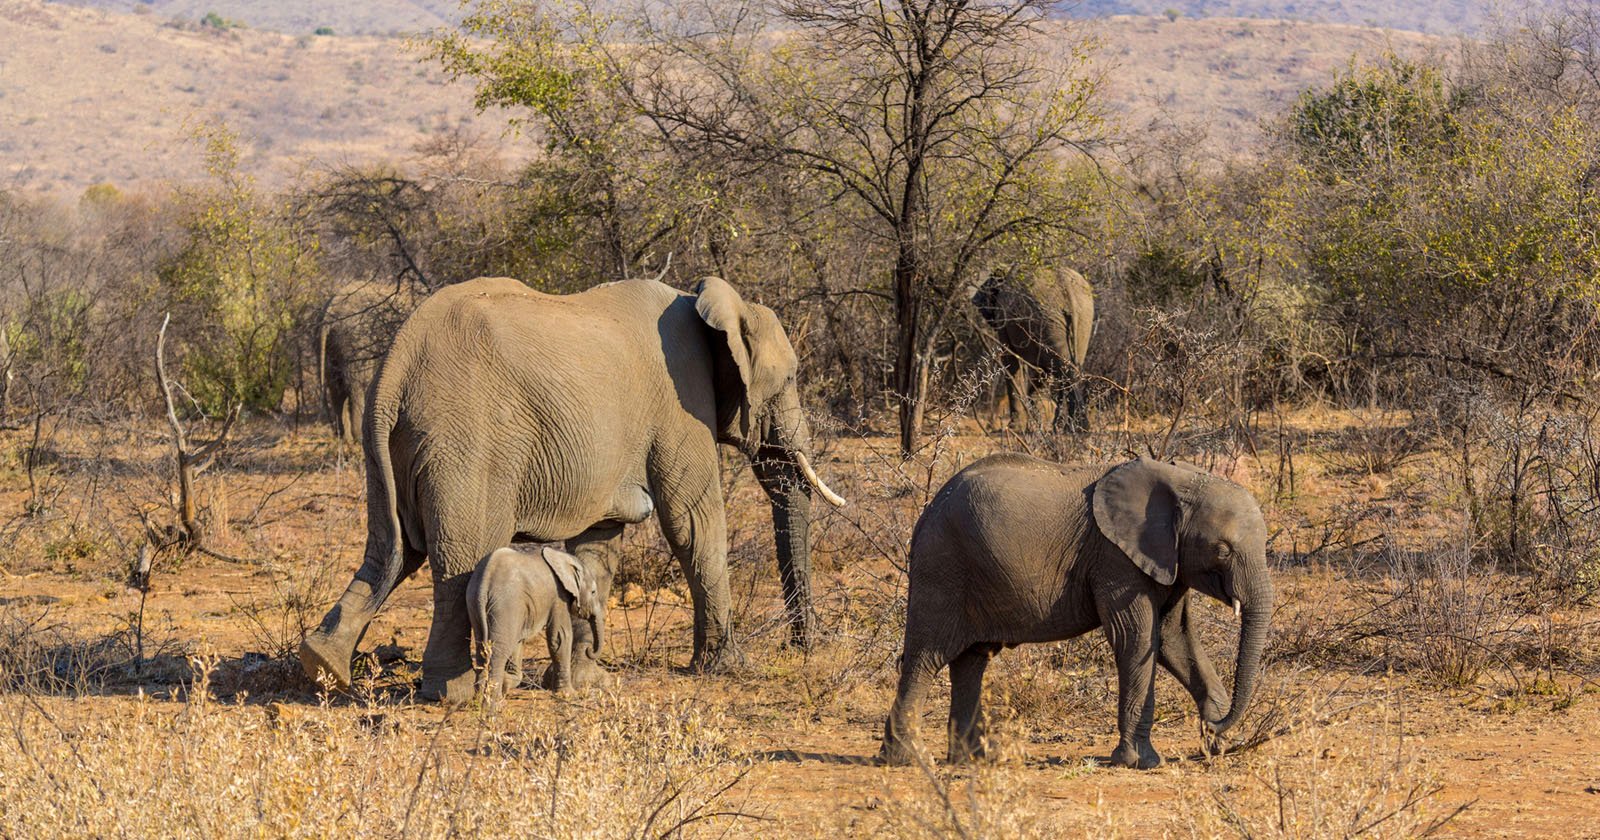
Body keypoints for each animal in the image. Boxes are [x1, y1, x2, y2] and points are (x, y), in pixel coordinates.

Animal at [470, 544, 608, 694]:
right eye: (593, 592)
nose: (589, 650)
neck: (564, 558)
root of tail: (485, 581)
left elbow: (519, 641)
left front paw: (508, 681)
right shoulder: (558, 596)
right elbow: (560, 636)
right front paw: (569, 694)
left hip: (475, 603)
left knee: (482, 649)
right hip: (505, 604)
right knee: (499, 649)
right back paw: (494, 700)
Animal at [883, 454, 1267, 771]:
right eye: (1222, 550)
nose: (1210, 727)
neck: (1180, 479)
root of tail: (928, 509)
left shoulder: (1168, 560)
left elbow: (1177, 641)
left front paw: (1221, 744)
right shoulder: (1115, 559)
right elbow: (1136, 639)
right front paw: (1140, 761)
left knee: (971, 661)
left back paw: (974, 759)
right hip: (942, 566)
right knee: (926, 658)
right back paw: (910, 758)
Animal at [966, 264, 1094, 435]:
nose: (974, 301)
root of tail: (1069, 293)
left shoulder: (1004, 318)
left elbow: (1010, 361)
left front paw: (1013, 427)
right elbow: (1043, 371)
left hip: (1048, 320)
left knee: (1063, 369)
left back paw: (1074, 429)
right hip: (1080, 321)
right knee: (1068, 368)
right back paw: (1069, 428)